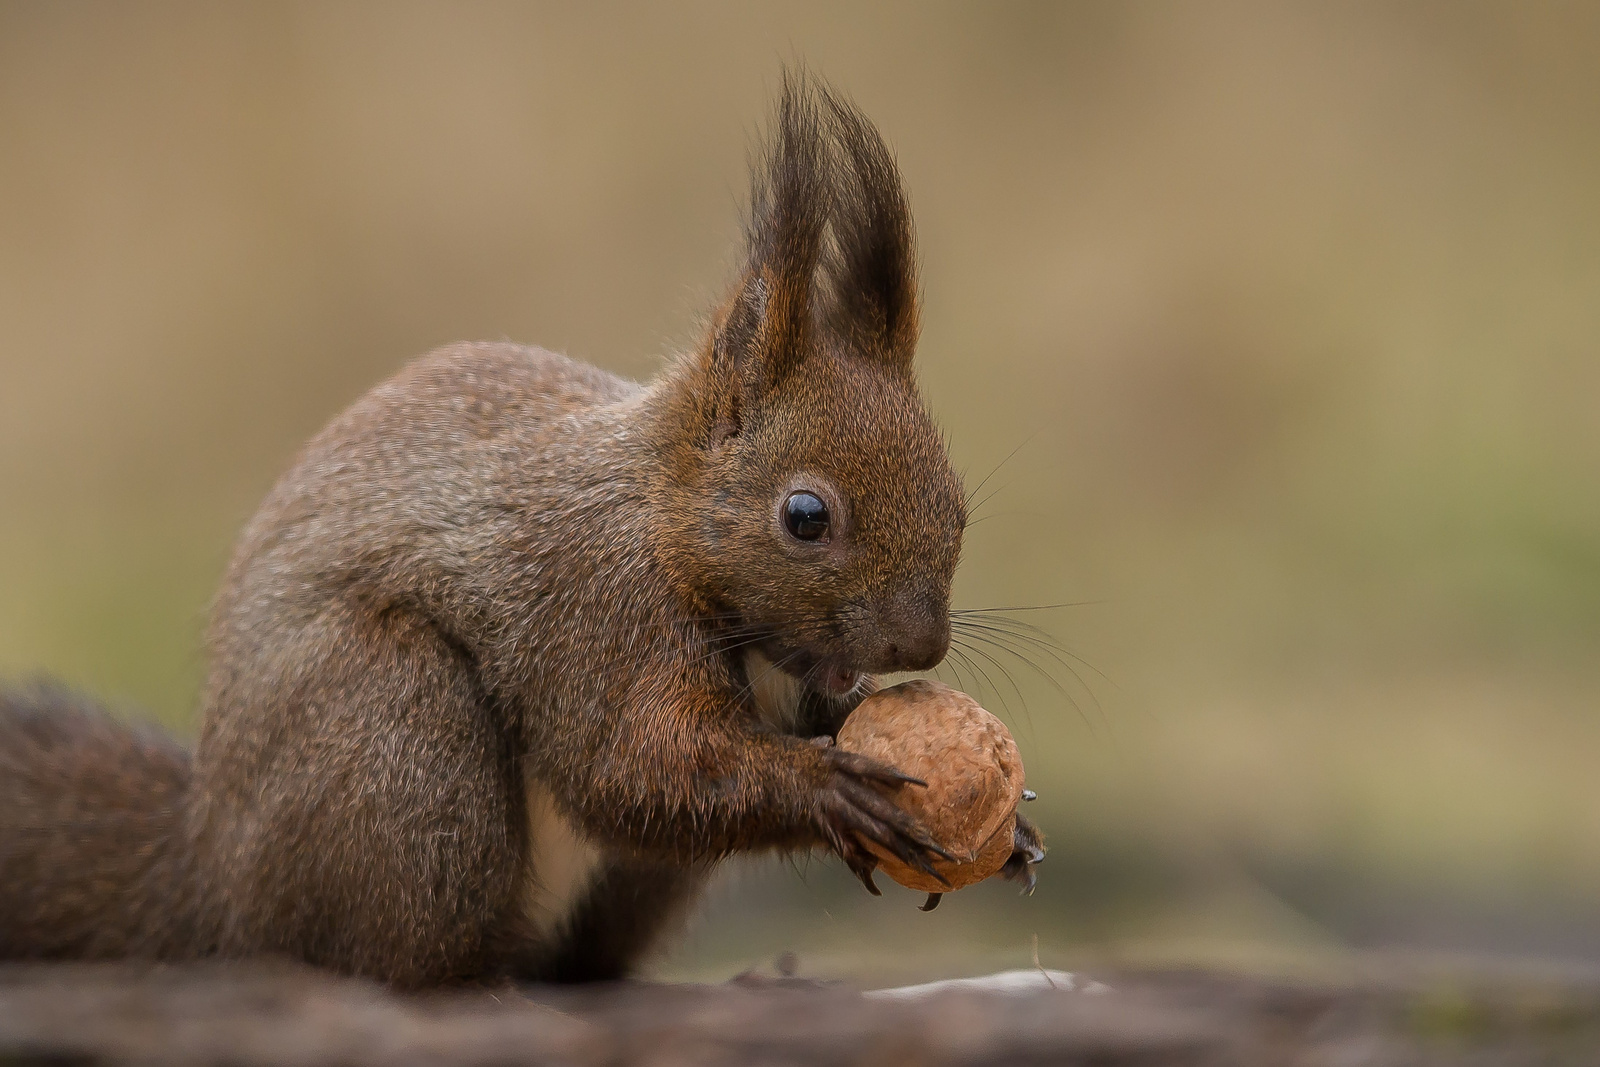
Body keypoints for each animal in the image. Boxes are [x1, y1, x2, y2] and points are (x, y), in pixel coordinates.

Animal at [0, 77, 1043, 991]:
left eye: (956, 503)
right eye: (805, 516)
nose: (922, 643)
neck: (658, 518)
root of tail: (213, 871)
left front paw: (1012, 835)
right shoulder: (597, 608)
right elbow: (633, 769)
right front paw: (832, 790)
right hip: (398, 731)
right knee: (385, 956)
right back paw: (479, 980)